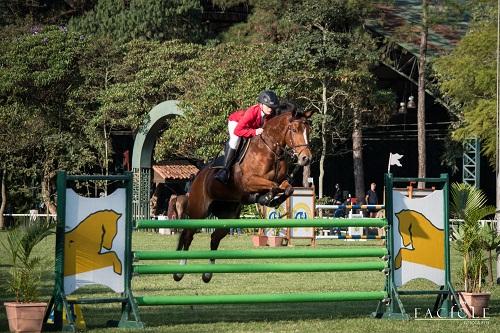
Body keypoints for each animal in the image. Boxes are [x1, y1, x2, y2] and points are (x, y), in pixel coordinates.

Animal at [174, 102, 310, 282]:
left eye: (308, 130)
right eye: (294, 130)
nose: (306, 159)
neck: (270, 148)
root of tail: (198, 176)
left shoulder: (282, 181)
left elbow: (288, 188)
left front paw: (272, 200)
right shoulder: (249, 182)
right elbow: (273, 185)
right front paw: (265, 198)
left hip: (228, 216)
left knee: (214, 238)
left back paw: (207, 274)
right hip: (198, 213)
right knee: (188, 236)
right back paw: (179, 272)